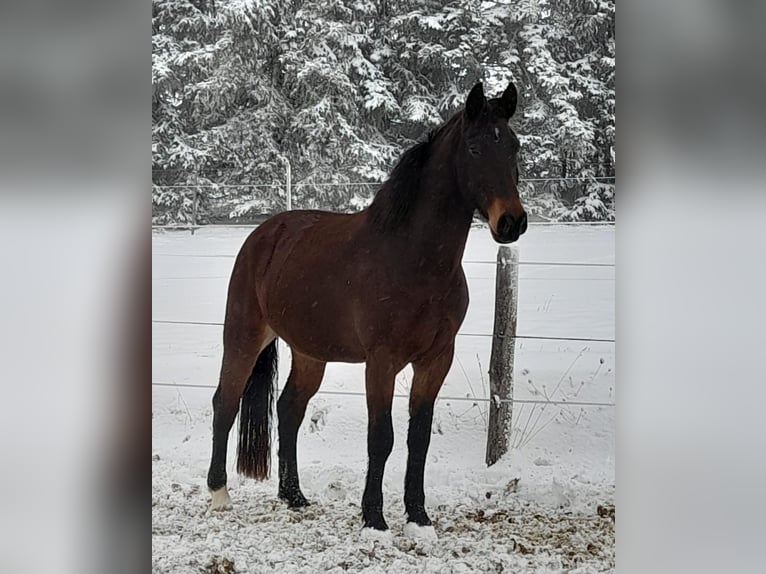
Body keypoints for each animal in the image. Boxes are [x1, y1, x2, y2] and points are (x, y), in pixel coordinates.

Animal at [207, 81, 524, 532]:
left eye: (514, 146)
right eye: (476, 148)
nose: (512, 222)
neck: (414, 259)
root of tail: (264, 234)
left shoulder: (436, 359)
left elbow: (418, 438)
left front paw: (418, 515)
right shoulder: (382, 360)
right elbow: (381, 437)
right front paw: (374, 516)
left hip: (309, 353)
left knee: (289, 410)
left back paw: (293, 495)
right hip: (244, 337)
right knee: (226, 404)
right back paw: (219, 493)